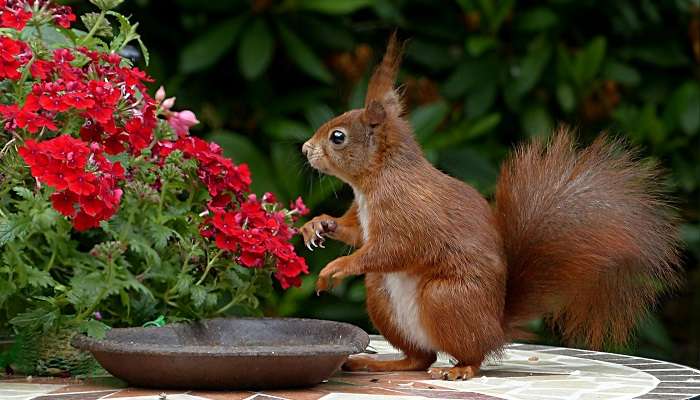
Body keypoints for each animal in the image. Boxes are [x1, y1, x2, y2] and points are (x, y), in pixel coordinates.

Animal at [300, 33, 680, 378]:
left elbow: (392, 249)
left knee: (470, 354)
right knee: (420, 358)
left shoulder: (408, 212)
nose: (305, 149)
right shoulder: (364, 217)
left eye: (338, 137)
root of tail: (496, 328)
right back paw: (379, 362)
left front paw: (336, 267)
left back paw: (460, 368)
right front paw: (318, 225)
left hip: (445, 298)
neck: (376, 180)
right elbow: (355, 233)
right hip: (382, 296)